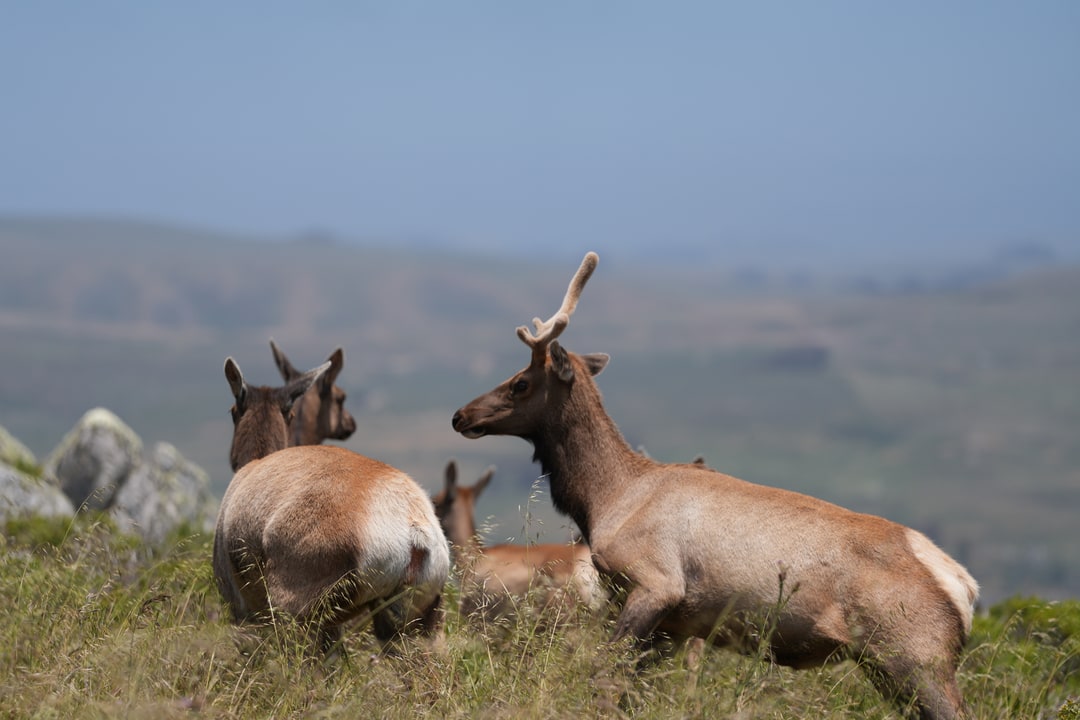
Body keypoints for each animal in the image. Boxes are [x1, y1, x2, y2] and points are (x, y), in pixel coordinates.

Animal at [451, 252, 979, 720]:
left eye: (520, 382)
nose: (461, 415)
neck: (606, 501)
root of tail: (965, 589)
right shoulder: (676, 625)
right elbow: (635, 694)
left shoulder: (656, 584)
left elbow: (605, 681)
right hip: (887, 665)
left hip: (914, 656)